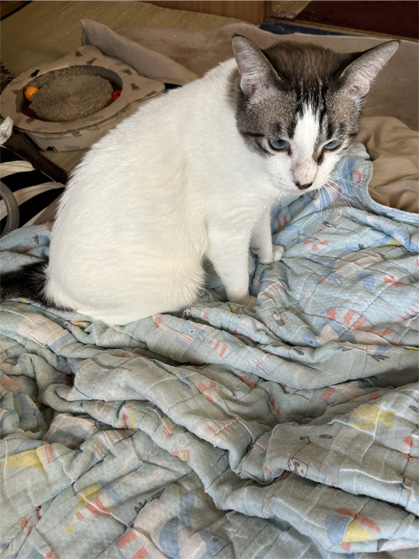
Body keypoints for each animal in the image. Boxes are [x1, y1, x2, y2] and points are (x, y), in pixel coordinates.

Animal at [1, 36, 399, 325]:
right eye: (277, 143)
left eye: (331, 144)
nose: (304, 183)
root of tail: (53, 282)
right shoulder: (226, 232)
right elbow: (237, 276)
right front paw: (246, 304)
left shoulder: (255, 209)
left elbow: (263, 236)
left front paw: (268, 257)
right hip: (177, 283)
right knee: (108, 319)